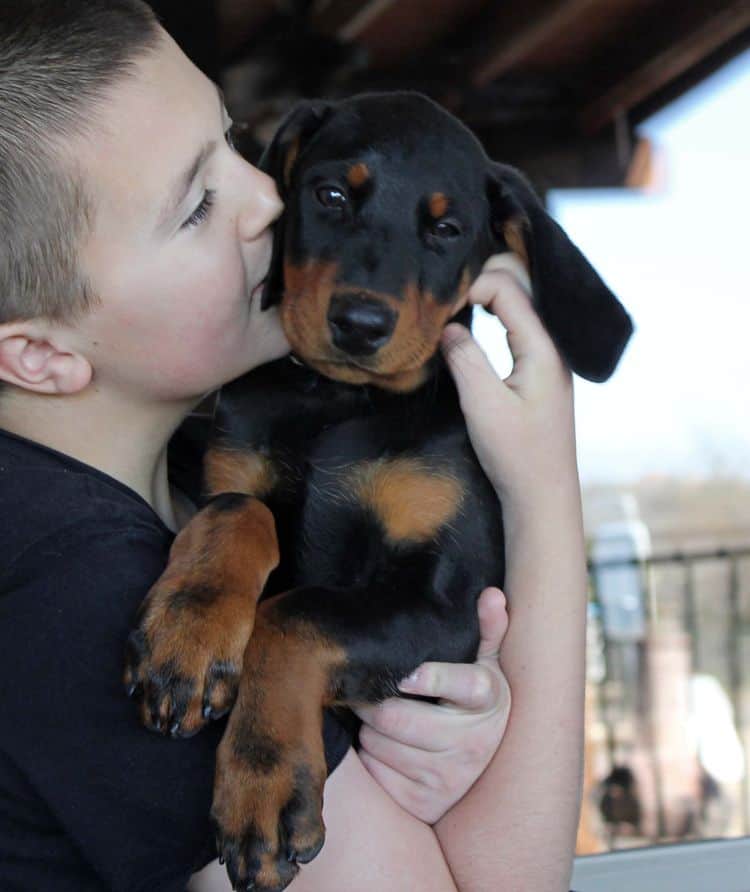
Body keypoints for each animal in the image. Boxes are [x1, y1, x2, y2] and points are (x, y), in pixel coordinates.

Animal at [125, 92, 636, 892]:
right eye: (331, 195)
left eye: (447, 230)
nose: (360, 325)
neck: (341, 403)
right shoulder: (229, 466)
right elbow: (239, 509)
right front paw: (189, 629)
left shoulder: (445, 608)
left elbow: (296, 615)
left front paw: (264, 782)